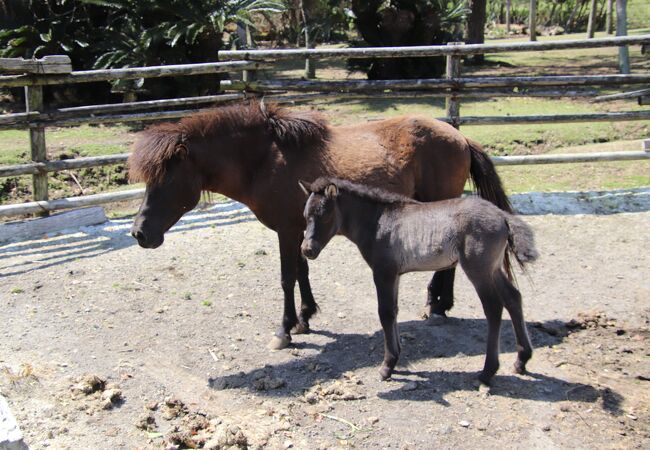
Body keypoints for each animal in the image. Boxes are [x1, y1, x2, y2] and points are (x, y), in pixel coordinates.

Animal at [128, 100, 512, 350]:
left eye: (166, 180)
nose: (139, 233)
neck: (263, 159)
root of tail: (459, 137)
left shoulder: (286, 231)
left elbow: (287, 277)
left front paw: (284, 330)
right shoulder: (298, 230)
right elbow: (302, 272)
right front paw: (305, 317)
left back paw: (439, 306)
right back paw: (438, 303)